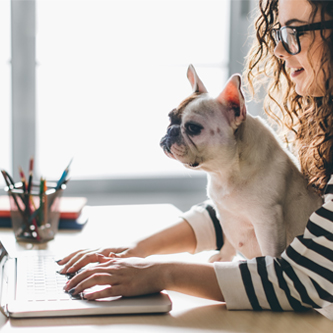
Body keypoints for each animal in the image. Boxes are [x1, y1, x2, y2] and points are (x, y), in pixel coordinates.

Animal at [160, 65, 320, 260]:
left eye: (193, 128)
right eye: (170, 118)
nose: (171, 131)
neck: (227, 170)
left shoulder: (268, 222)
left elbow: (270, 254)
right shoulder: (224, 212)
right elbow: (227, 238)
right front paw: (223, 257)